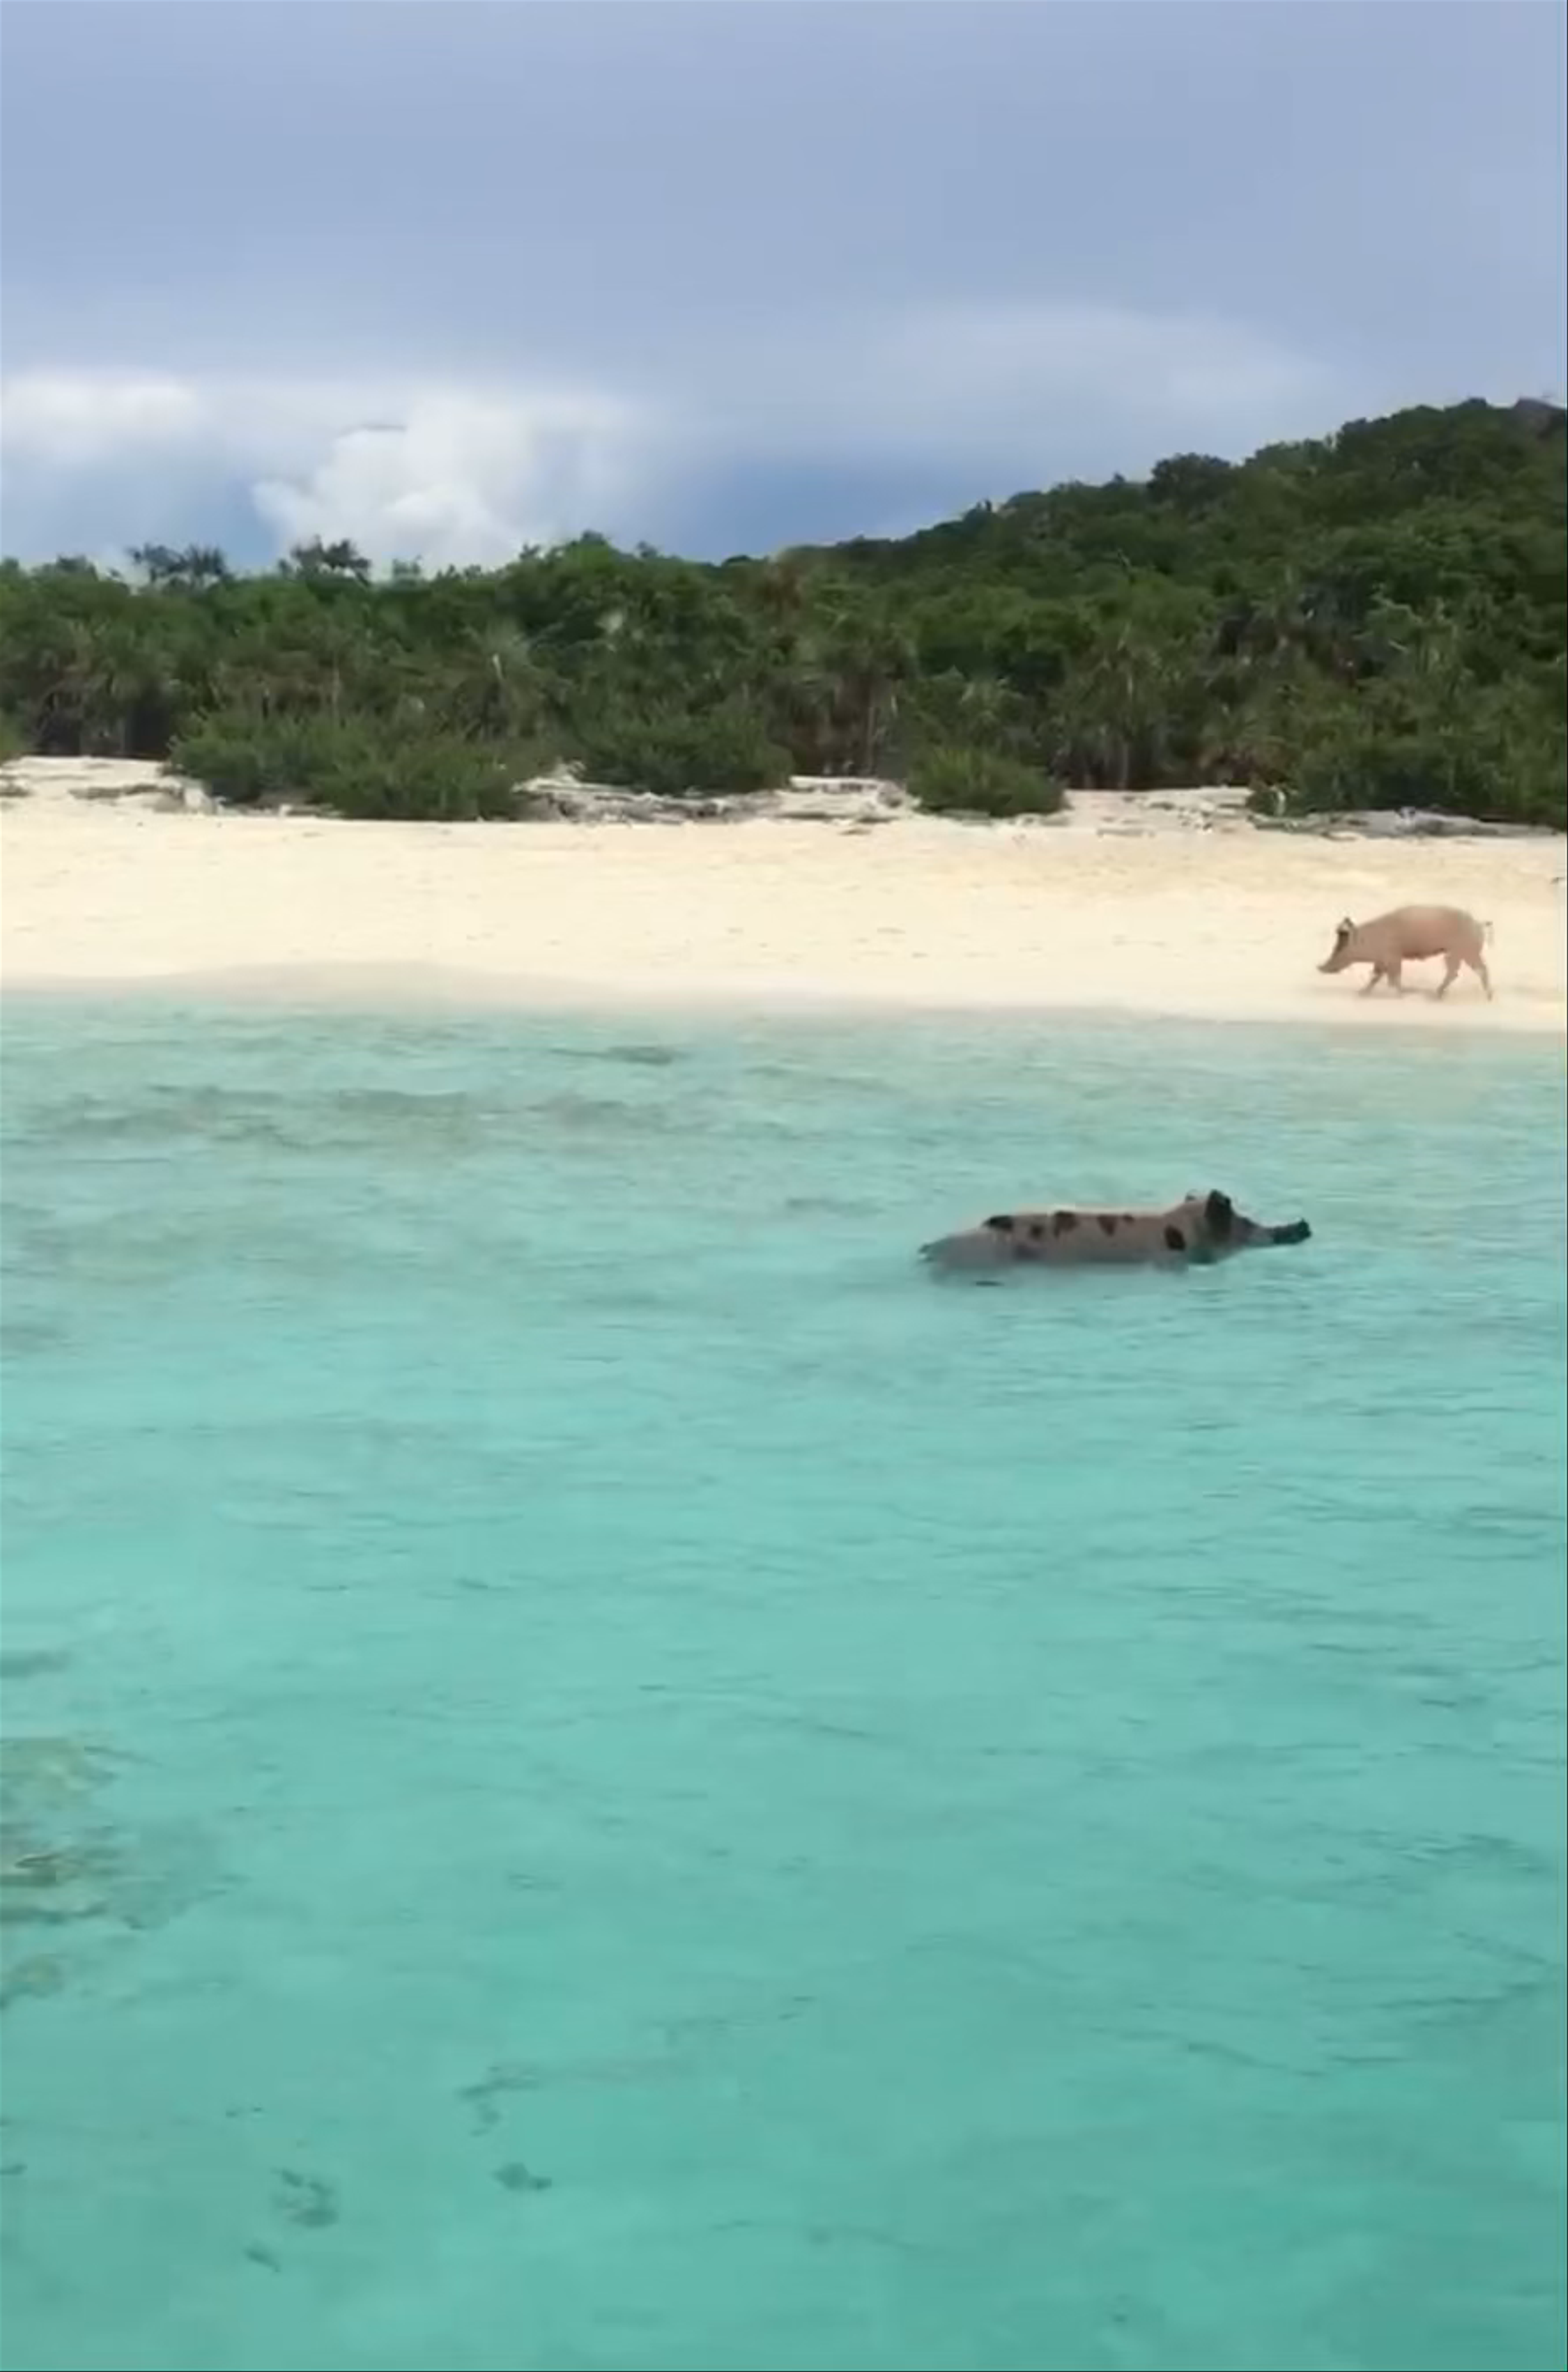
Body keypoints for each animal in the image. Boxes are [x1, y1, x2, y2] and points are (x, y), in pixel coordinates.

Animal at [1317, 905, 1493, 1000]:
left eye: (1339, 949)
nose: (1320, 968)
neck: (1371, 940)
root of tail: (1479, 924)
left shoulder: (1393, 957)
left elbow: (1394, 979)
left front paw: (1403, 995)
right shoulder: (1381, 961)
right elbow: (1375, 977)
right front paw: (1361, 993)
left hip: (1463, 950)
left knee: (1469, 971)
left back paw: (1436, 996)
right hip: (1463, 952)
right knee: (1465, 972)